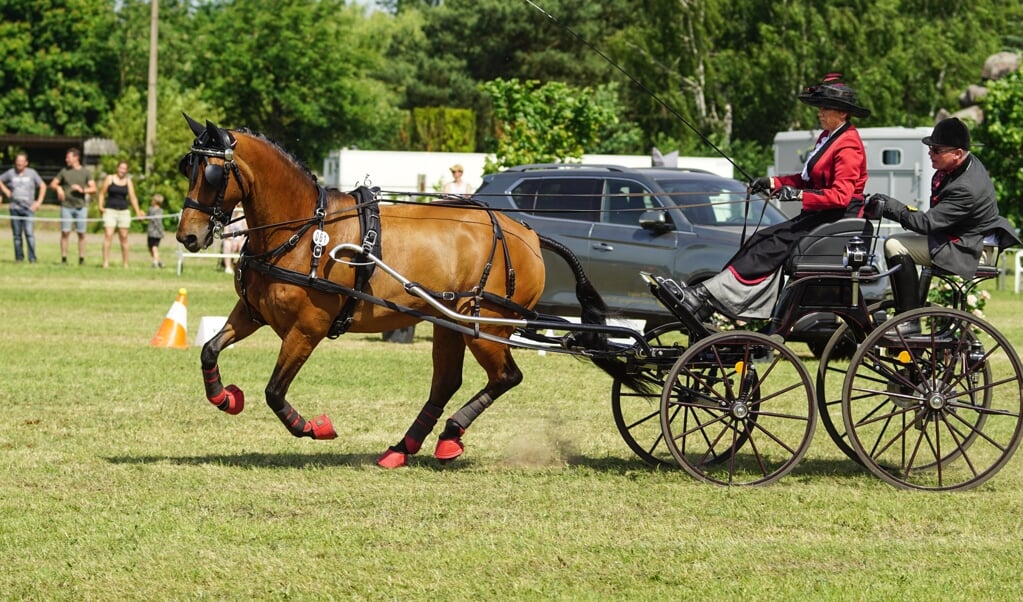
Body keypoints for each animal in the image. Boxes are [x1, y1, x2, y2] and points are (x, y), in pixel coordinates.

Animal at [172, 115, 642, 468]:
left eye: (212, 172)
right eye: (187, 167)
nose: (188, 236)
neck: (304, 231)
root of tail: (526, 232)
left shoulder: (309, 327)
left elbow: (274, 391)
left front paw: (314, 427)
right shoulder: (252, 312)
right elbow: (209, 350)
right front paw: (226, 398)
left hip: (485, 324)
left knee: (506, 376)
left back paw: (451, 435)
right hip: (450, 324)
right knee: (447, 382)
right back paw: (404, 448)